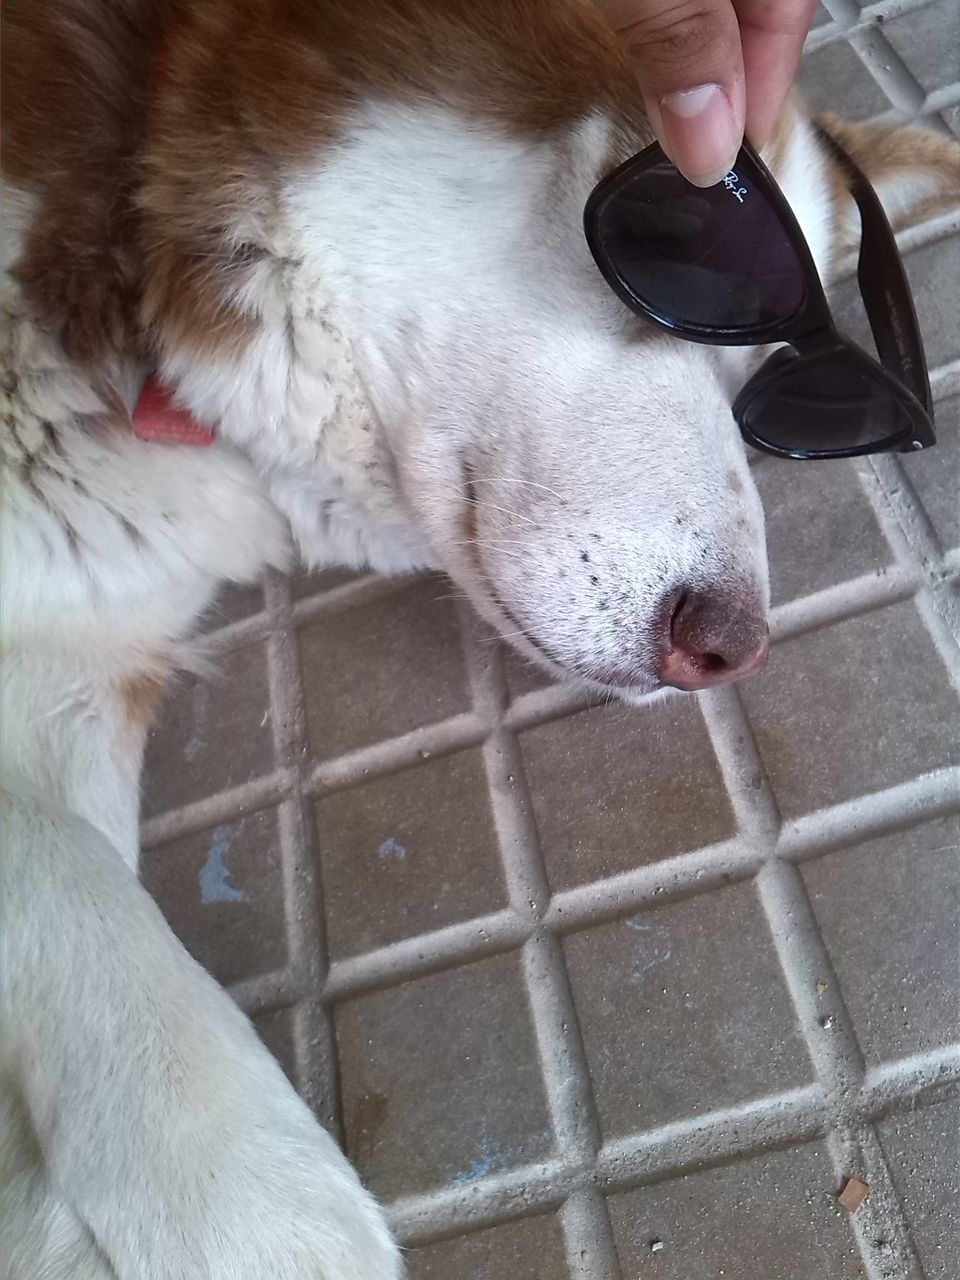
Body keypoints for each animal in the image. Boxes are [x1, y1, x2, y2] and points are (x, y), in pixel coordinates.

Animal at [1, 2, 960, 1280]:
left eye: (761, 393)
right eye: (684, 250)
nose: (731, 645)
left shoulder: (81, 648)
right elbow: (62, 867)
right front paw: (241, 1190)